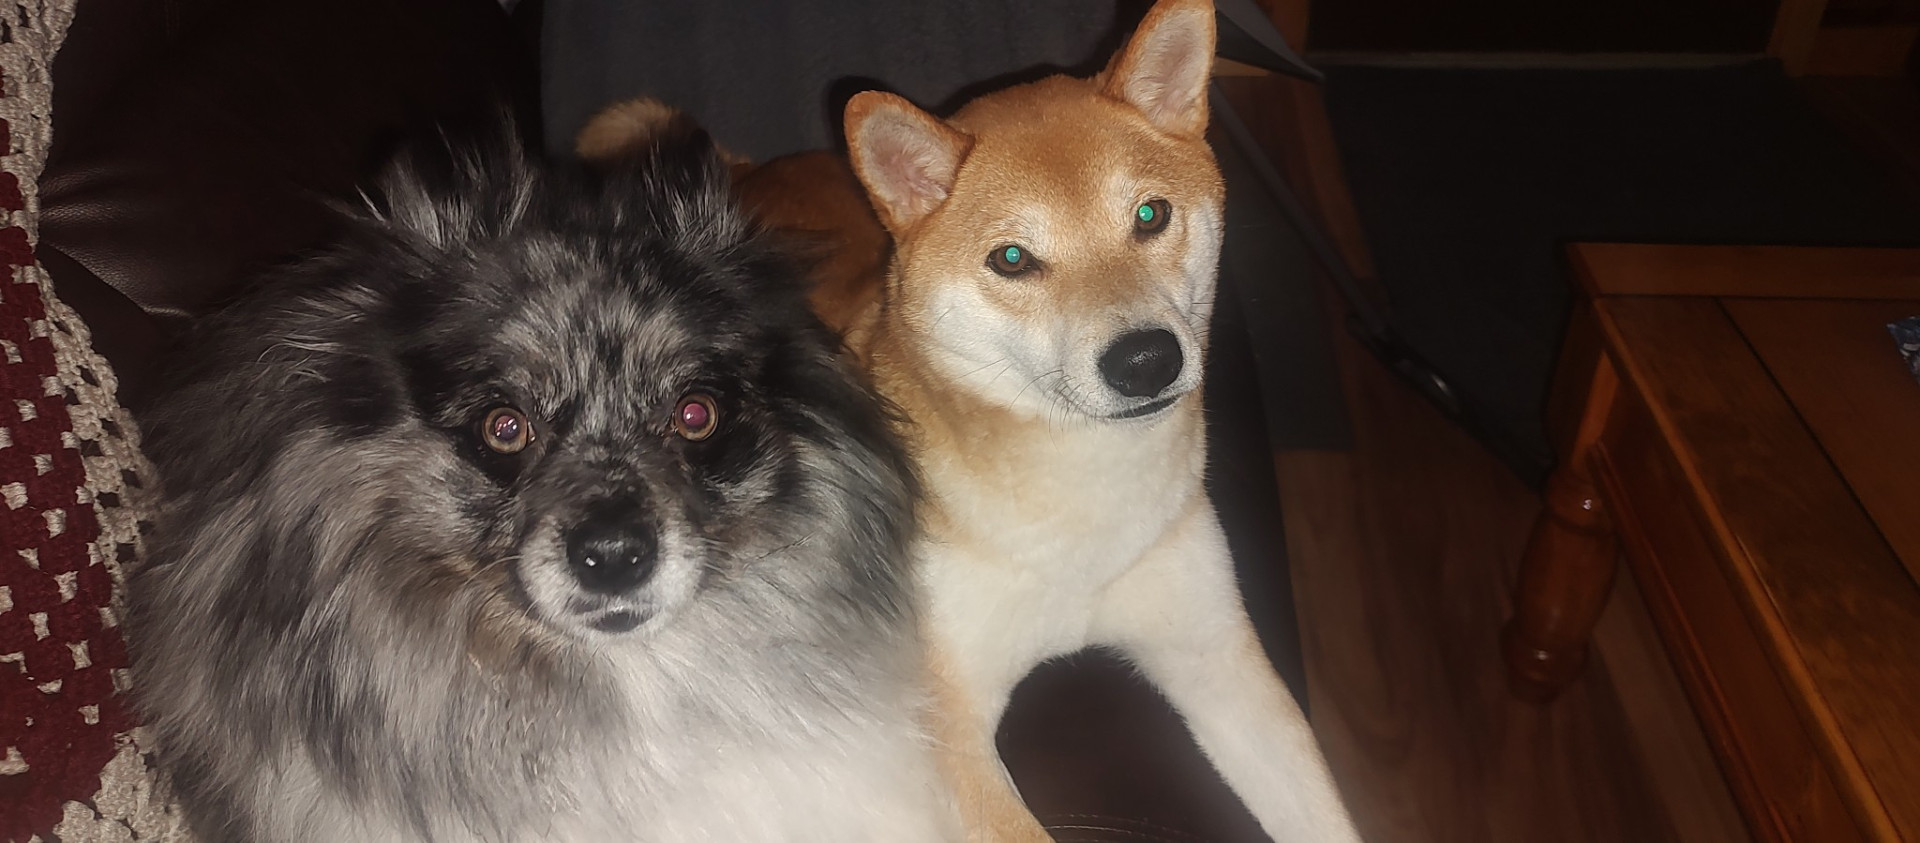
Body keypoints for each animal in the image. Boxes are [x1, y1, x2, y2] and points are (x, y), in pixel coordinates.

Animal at [578, 1, 1361, 840]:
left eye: (1151, 215)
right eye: (1013, 259)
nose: (1146, 359)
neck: (1079, 507)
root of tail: (747, 168)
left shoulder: (1219, 663)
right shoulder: (942, 723)